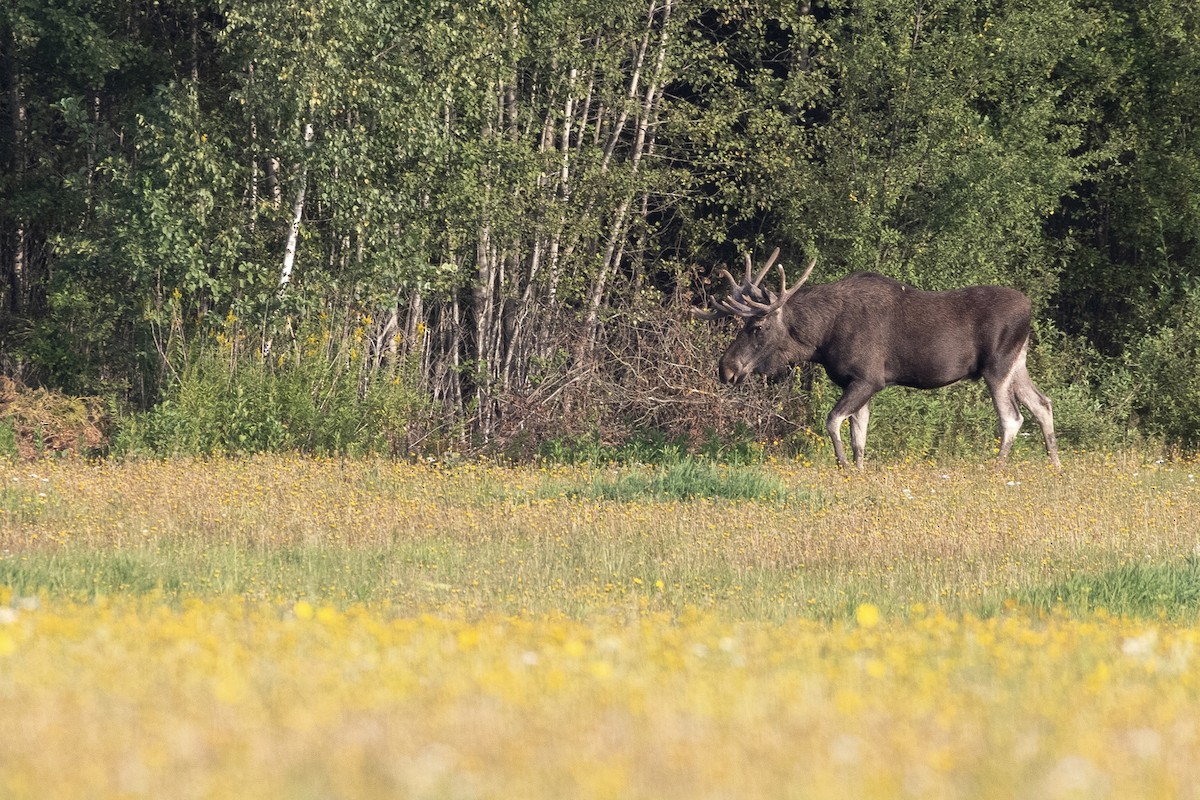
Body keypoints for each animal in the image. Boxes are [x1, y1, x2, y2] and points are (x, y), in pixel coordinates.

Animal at [693, 248, 1061, 470]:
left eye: (757, 327)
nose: (726, 369)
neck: (820, 339)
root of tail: (1030, 308)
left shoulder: (868, 379)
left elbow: (833, 421)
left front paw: (842, 466)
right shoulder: (858, 384)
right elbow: (860, 435)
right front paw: (858, 470)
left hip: (997, 366)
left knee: (1012, 418)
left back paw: (998, 469)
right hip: (1017, 363)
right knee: (1043, 404)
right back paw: (1055, 466)